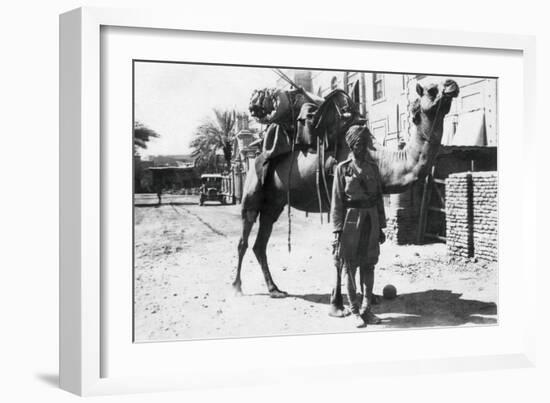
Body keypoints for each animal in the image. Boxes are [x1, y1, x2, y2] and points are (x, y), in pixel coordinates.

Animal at [233, 79, 462, 304]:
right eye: (431, 90)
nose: (452, 84)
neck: (380, 159)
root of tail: (256, 155)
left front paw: (370, 297)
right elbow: (344, 251)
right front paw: (344, 300)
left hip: (274, 203)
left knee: (260, 244)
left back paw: (275, 289)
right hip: (253, 192)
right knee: (244, 238)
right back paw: (237, 287)